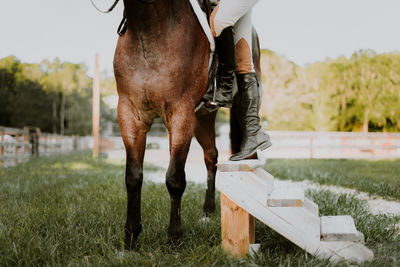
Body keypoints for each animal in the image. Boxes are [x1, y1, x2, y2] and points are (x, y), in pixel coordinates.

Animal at [113, 0, 262, 251]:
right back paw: (208, 210)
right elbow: (133, 177)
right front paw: (131, 238)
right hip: (201, 119)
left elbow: (174, 178)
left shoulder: (180, 114)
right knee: (211, 156)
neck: (146, 28)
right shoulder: (130, 114)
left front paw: (174, 239)